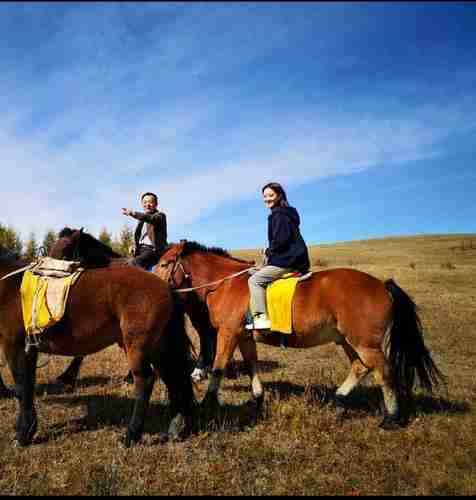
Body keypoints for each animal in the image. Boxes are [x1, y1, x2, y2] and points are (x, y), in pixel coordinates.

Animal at [0, 244, 195, 448]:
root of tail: (167, 287)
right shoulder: (29, 349)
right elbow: (28, 387)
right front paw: (28, 428)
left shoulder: (13, 345)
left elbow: (22, 387)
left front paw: (22, 433)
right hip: (158, 347)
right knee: (174, 378)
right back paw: (175, 429)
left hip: (138, 346)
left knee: (145, 381)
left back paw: (130, 436)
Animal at [155, 240, 446, 428]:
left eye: (165, 263)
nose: (154, 284)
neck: (226, 283)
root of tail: (382, 285)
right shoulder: (244, 337)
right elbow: (252, 366)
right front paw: (258, 401)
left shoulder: (228, 334)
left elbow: (218, 368)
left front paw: (207, 403)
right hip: (347, 340)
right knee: (360, 367)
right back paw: (337, 400)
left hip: (364, 343)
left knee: (383, 371)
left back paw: (391, 418)